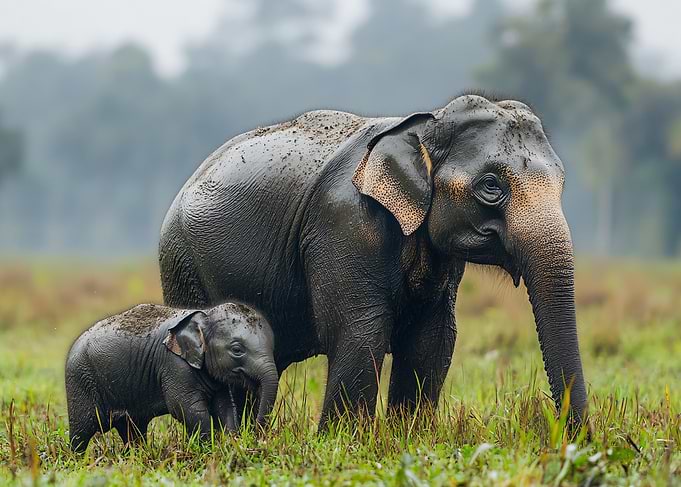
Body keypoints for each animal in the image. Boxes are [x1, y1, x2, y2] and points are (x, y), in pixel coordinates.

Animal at [65, 302, 277, 452]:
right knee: (82, 431)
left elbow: (224, 406)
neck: (204, 314)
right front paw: (211, 451)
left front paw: (231, 444)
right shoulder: (174, 365)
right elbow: (185, 408)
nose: (258, 438)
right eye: (237, 350)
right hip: (80, 380)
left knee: (132, 429)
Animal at [159, 94, 587, 428]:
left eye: (563, 182)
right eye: (491, 186)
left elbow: (433, 338)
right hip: (182, 264)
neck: (425, 123)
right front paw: (342, 442)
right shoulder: (344, 225)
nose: (576, 437)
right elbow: (361, 332)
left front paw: (407, 436)